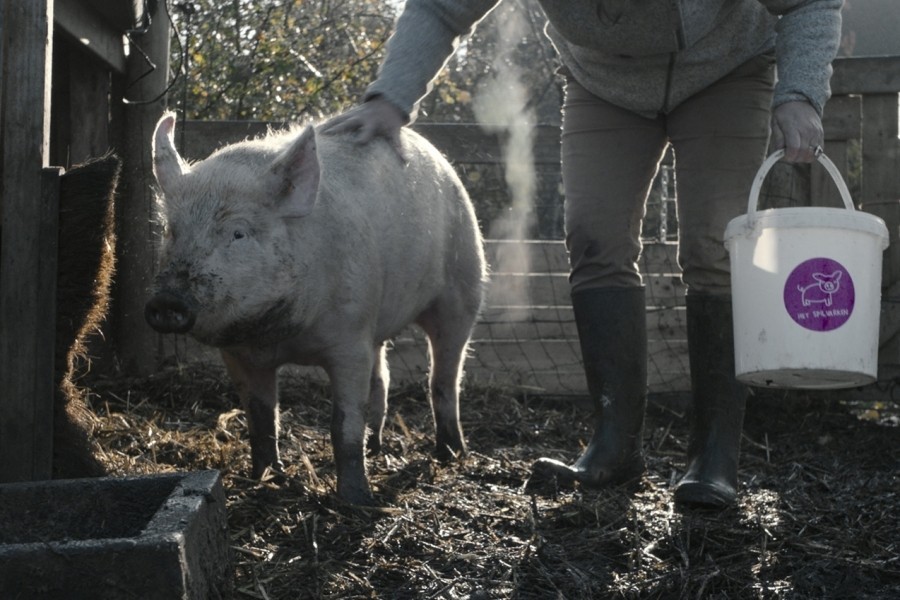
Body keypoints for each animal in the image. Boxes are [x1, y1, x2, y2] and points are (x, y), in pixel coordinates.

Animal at [145, 113, 486, 505]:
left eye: (238, 233)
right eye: (172, 232)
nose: (166, 302)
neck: (278, 337)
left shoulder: (350, 339)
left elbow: (344, 424)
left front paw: (355, 500)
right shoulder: (238, 354)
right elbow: (261, 418)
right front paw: (267, 478)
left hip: (464, 284)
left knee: (444, 377)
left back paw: (450, 453)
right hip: (379, 322)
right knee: (383, 377)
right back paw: (376, 447)